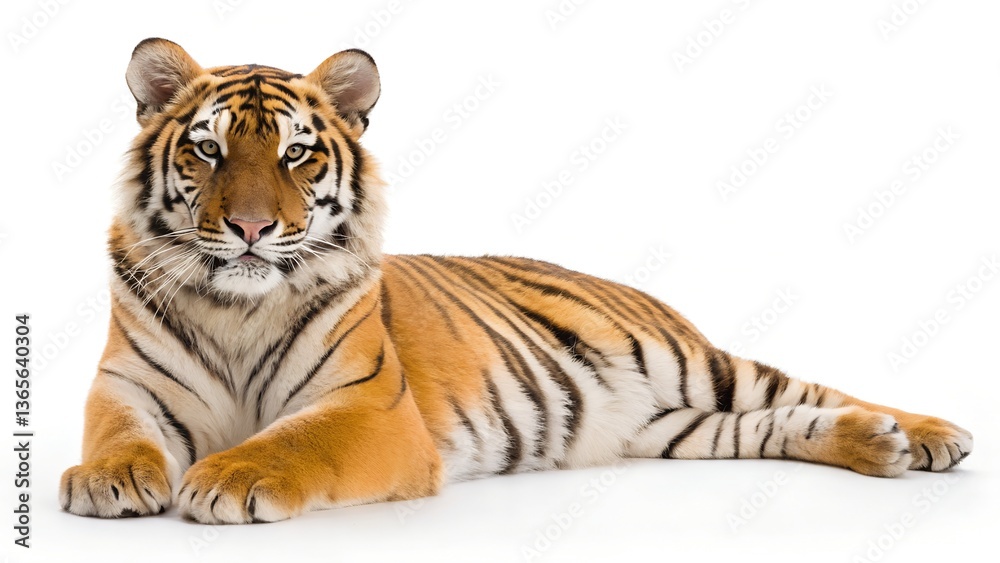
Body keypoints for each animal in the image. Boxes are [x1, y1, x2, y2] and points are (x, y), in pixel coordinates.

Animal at [59, 38, 972, 525]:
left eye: (297, 153)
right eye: (208, 149)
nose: (251, 227)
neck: (237, 306)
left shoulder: (369, 408)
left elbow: (292, 439)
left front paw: (228, 477)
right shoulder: (126, 383)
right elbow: (117, 432)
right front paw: (108, 479)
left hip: (697, 366)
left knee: (808, 386)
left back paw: (929, 433)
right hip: (666, 426)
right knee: (772, 423)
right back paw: (876, 445)